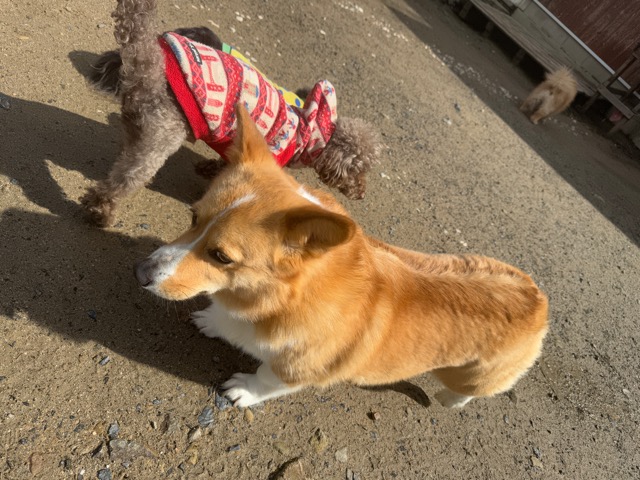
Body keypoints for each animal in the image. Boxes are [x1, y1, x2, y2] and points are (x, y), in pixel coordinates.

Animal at [82, 0, 379, 228]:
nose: (362, 194)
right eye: (360, 170)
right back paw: (101, 211)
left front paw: (205, 169)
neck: (309, 132)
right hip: (160, 137)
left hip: (138, 128)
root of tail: (151, 71)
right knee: (124, 181)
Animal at [134, 104, 549, 408]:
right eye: (193, 217)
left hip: (472, 376)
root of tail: (538, 297)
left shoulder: (296, 371)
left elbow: (266, 380)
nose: (140, 273)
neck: (269, 300)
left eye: (221, 256)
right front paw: (212, 321)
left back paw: (450, 400)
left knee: (466, 391)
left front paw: (243, 391)